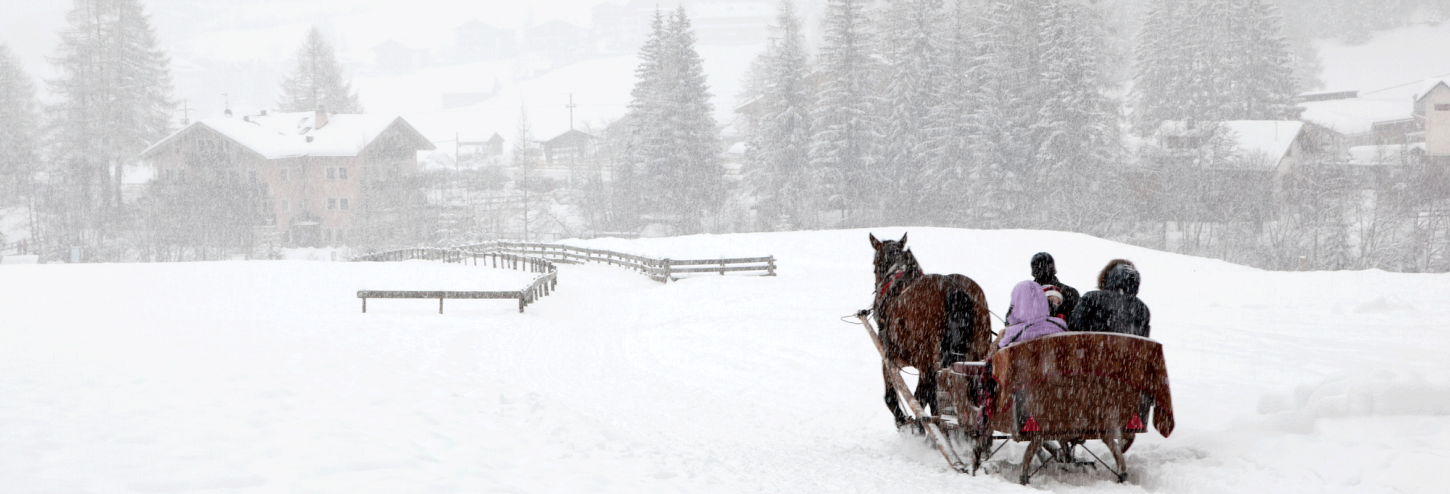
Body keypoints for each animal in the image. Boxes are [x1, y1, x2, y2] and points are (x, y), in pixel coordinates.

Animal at [864, 233, 991, 428]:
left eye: (874, 264)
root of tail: (952, 288)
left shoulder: (889, 358)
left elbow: (892, 397)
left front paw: (903, 422)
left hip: (926, 361)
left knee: (921, 398)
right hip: (976, 353)